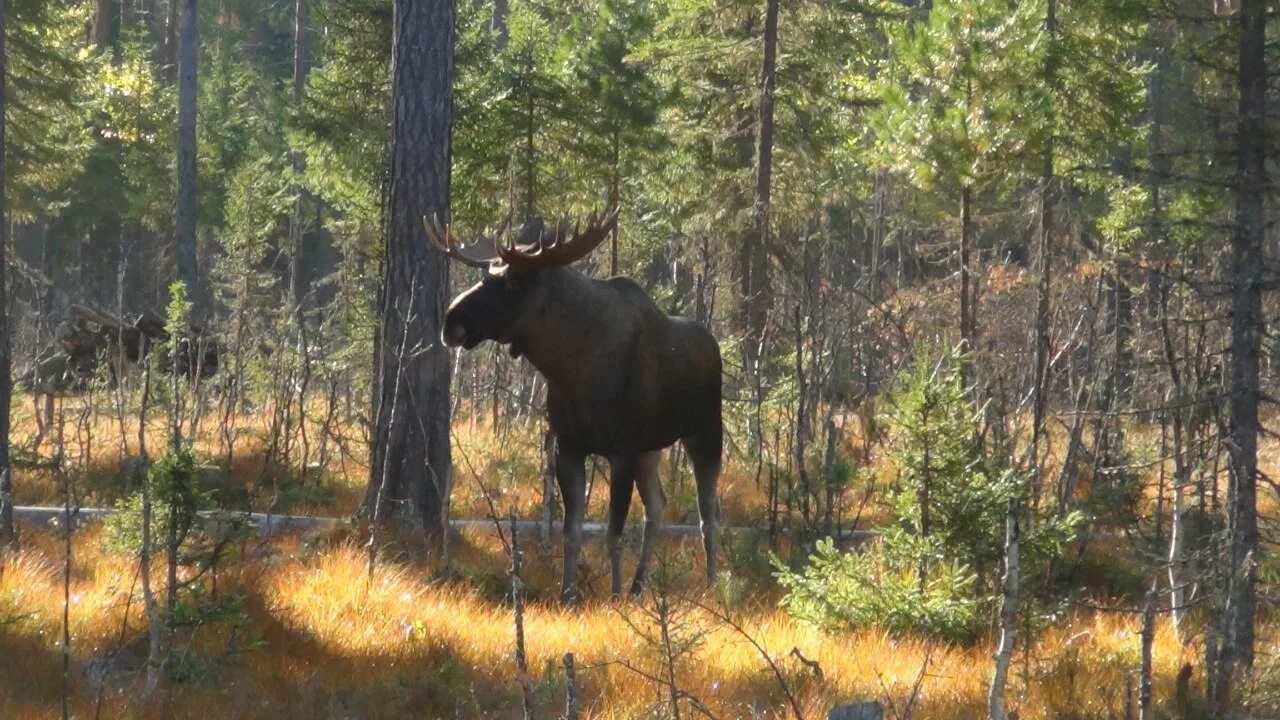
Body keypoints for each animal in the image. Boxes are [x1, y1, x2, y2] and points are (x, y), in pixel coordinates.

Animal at [427, 208, 721, 599]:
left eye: (514, 281)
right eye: (486, 273)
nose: (451, 320)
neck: (572, 368)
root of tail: (713, 343)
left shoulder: (622, 448)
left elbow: (613, 532)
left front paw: (613, 596)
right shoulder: (568, 446)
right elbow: (571, 531)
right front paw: (568, 594)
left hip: (705, 432)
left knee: (708, 514)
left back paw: (711, 585)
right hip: (651, 449)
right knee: (657, 507)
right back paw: (638, 586)